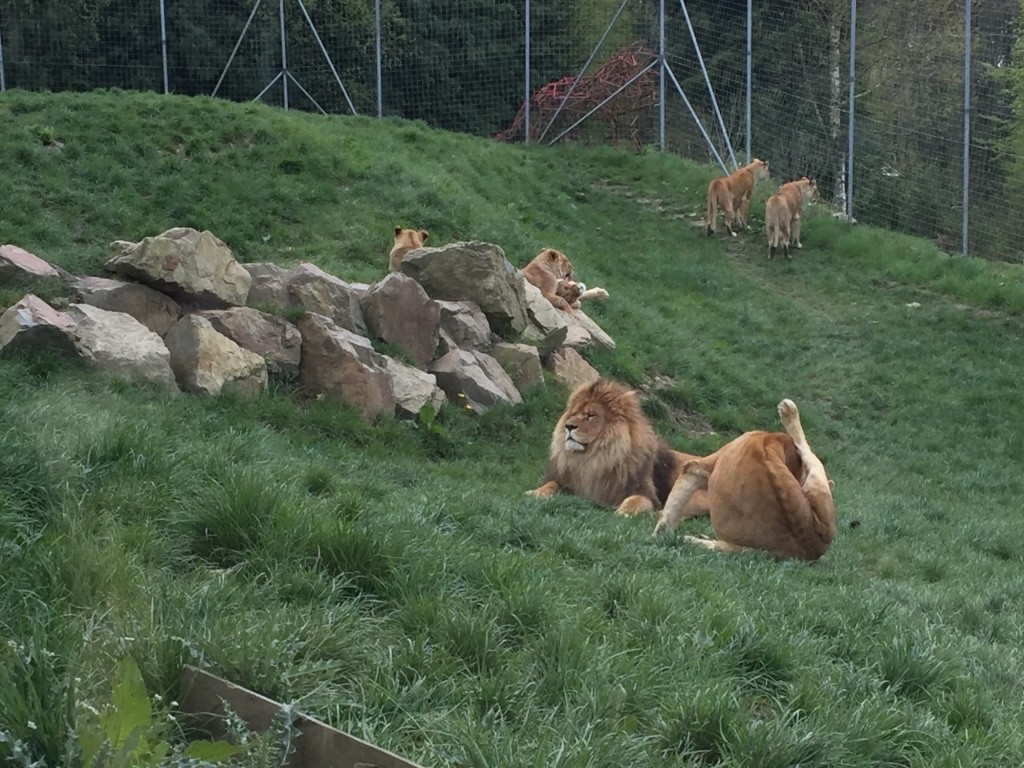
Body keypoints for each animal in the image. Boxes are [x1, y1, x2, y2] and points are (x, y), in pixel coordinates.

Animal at [532, 376, 708, 518]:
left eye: (591, 415)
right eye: (573, 413)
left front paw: (621, 513)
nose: (568, 426)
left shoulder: (645, 494)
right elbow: (551, 484)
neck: (592, 459)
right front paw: (534, 493)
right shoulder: (569, 484)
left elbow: (635, 500)